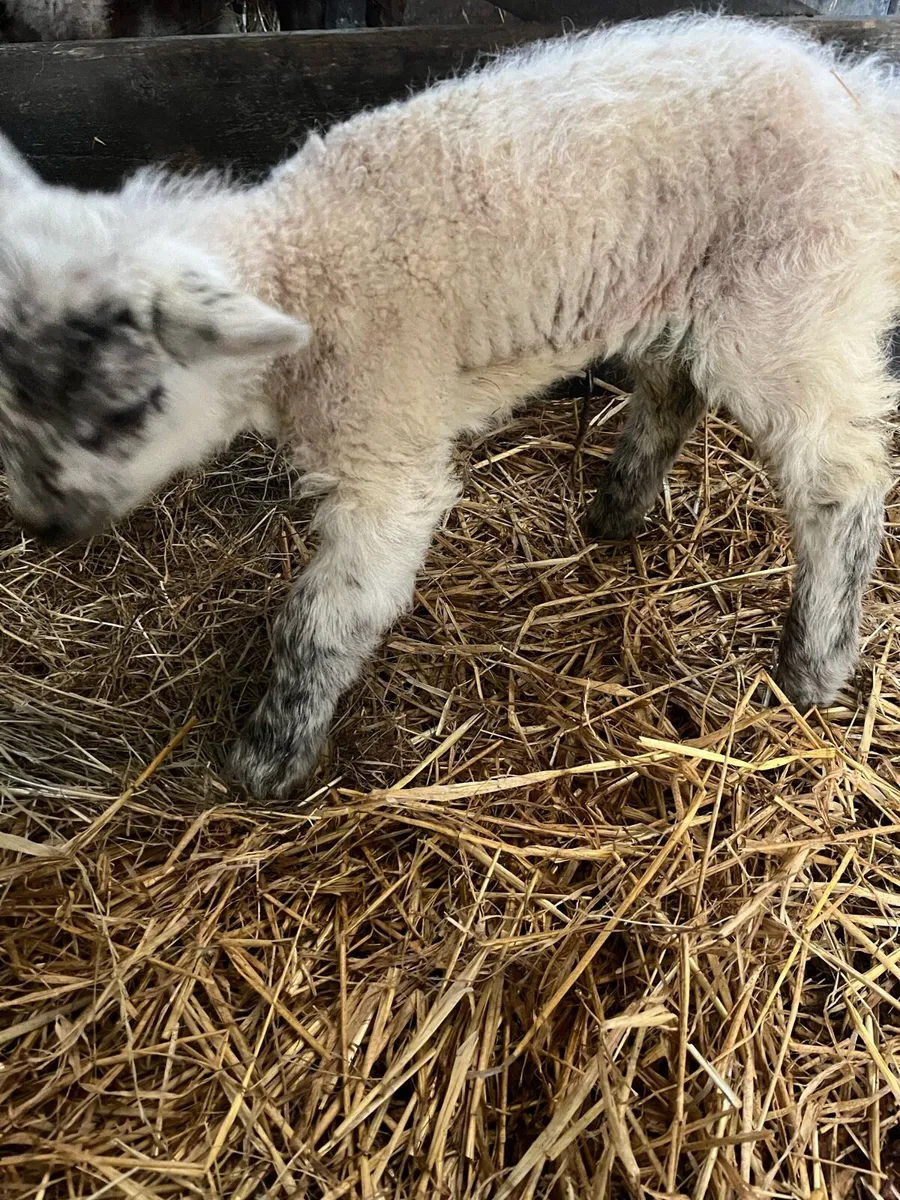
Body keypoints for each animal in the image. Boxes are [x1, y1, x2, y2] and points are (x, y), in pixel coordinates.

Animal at [0, 13, 898, 799]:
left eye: (126, 407)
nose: (42, 525)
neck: (301, 265)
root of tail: (860, 93)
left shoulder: (385, 456)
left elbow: (321, 621)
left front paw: (268, 761)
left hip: (794, 302)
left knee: (842, 482)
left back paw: (811, 670)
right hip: (680, 284)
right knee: (673, 389)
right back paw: (617, 512)